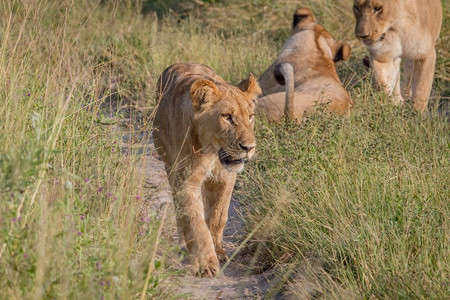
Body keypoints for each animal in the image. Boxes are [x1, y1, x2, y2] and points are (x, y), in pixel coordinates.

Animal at [154, 62, 262, 276]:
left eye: (251, 117)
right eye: (227, 117)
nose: (249, 148)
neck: (211, 152)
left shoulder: (225, 176)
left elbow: (217, 216)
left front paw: (218, 251)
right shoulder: (186, 180)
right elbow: (195, 221)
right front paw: (206, 264)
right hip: (169, 165)